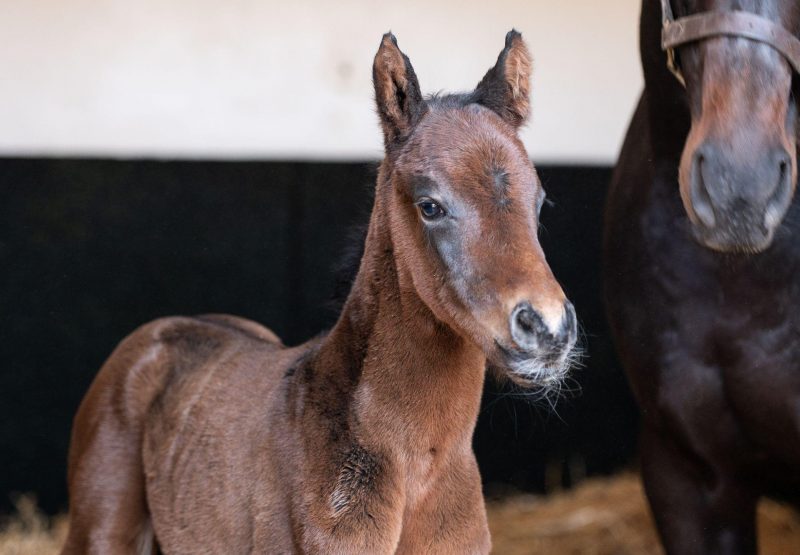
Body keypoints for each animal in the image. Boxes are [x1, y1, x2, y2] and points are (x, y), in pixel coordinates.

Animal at [60, 31, 578, 554]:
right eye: (430, 205)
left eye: (539, 201)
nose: (547, 327)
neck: (416, 466)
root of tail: (163, 329)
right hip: (97, 533)